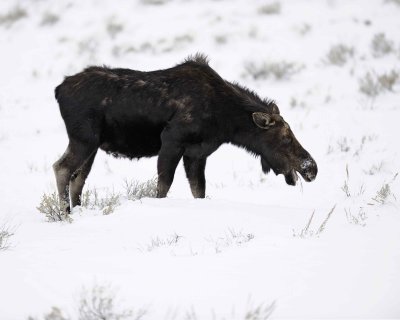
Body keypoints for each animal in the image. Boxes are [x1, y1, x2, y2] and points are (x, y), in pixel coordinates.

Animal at [53, 53, 318, 211]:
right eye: (285, 138)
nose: (311, 168)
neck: (226, 120)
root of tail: (58, 89)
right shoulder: (172, 141)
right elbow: (163, 186)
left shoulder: (197, 153)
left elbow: (199, 190)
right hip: (84, 139)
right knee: (61, 167)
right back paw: (65, 213)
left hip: (93, 145)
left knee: (78, 178)